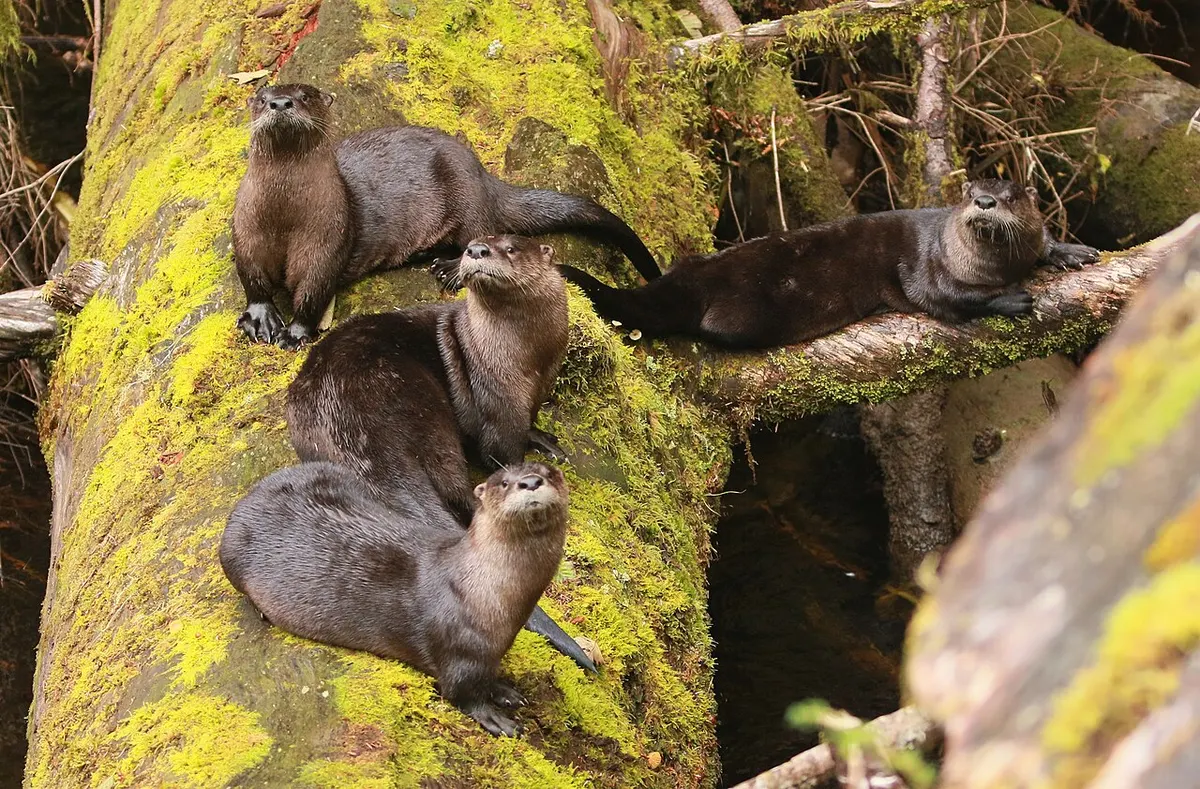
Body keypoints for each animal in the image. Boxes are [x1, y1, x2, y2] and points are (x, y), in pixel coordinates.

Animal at [220, 461, 569, 736]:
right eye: (504, 482)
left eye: (550, 473)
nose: (530, 482)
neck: (482, 592)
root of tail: (251, 495)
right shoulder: (458, 652)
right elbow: (460, 694)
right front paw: (496, 718)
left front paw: (503, 690)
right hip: (231, 556)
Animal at [232, 83, 659, 349]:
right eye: (262, 97)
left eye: (304, 95)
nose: (281, 103)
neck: (285, 214)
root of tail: (484, 177)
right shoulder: (246, 230)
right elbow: (250, 274)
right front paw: (260, 317)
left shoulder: (325, 238)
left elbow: (314, 288)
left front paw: (295, 332)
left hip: (466, 198)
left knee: (479, 232)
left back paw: (451, 267)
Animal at [287, 235, 593, 671]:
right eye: (474, 244)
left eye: (510, 247)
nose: (476, 250)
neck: (531, 360)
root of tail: (346, 419)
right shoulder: (499, 400)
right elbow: (500, 449)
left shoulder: (536, 391)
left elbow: (530, 424)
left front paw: (544, 438)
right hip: (426, 414)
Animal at [558, 179, 1100, 350]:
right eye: (970, 193)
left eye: (1011, 196)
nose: (985, 201)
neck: (996, 266)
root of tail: (694, 276)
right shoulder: (932, 269)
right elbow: (952, 298)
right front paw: (1009, 299)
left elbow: (1043, 244)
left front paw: (1070, 251)